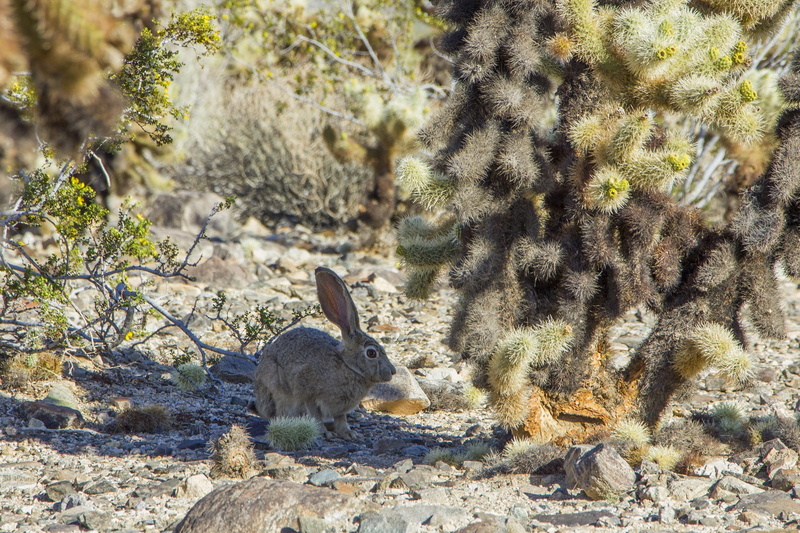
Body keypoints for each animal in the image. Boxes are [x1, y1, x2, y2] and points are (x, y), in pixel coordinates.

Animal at [253, 266, 396, 440]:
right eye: (371, 353)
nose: (392, 372)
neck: (347, 366)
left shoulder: (341, 408)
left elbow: (341, 419)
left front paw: (349, 434)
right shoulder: (307, 391)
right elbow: (315, 414)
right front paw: (323, 432)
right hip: (277, 393)